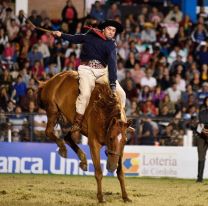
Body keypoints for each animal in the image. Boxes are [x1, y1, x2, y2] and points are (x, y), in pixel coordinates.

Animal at [37, 71, 132, 203]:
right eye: (111, 138)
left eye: (124, 141)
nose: (112, 167)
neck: (104, 110)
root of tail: (49, 82)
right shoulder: (94, 143)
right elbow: (98, 172)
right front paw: (100, 197)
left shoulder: (120, 150)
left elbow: (121, 173)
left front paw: (125, 196)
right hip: (53, 111)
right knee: (49, 132)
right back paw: (63, 148)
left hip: (70, 122)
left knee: (67, 137)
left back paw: (83, 160)